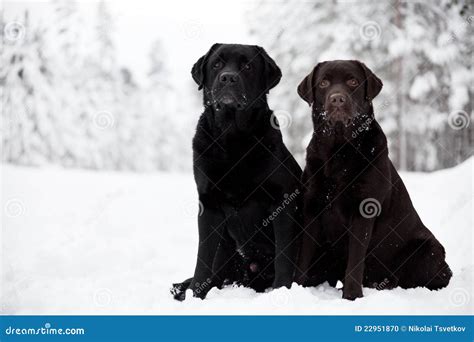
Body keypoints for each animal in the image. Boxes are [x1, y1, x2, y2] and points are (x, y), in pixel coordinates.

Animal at [172, 44, 302, 300]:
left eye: (248, 66)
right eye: (216, 64)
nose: (228, 78)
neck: (232, 138)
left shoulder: (282, 200)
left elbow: (284, 255)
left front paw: (282, 292)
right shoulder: (209, 203)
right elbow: (204, 257)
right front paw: (195, 295)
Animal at [296, 60, 452, 300]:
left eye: (352, 81)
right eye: (323, 83)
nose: (337, 99)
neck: (339, 150)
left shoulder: (364, 208)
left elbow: (355, 260)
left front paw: (352, 296)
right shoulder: (312, 207)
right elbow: (304, 257)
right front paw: (294, 289)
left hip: (427, 250)